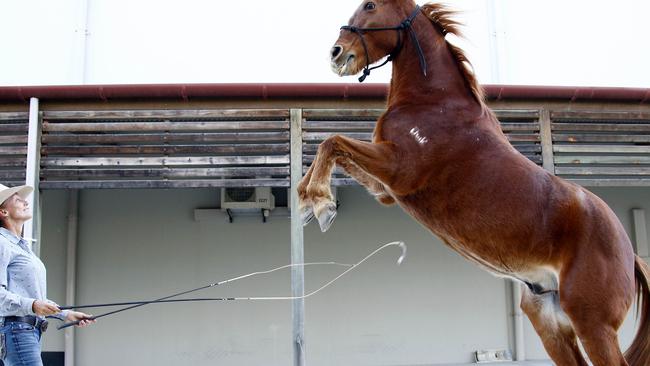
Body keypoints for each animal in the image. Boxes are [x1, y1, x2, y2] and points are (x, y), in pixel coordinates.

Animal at [298, 1, 648, 364]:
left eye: (370, 5)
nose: (336, 53)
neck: (433, 102)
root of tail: (631, 254)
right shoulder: (385, 189)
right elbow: (331, 149)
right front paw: (311, 205)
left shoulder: (399, 170)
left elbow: (333, 142)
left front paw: (320, 205)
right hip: (548, 320)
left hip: (593, 325)